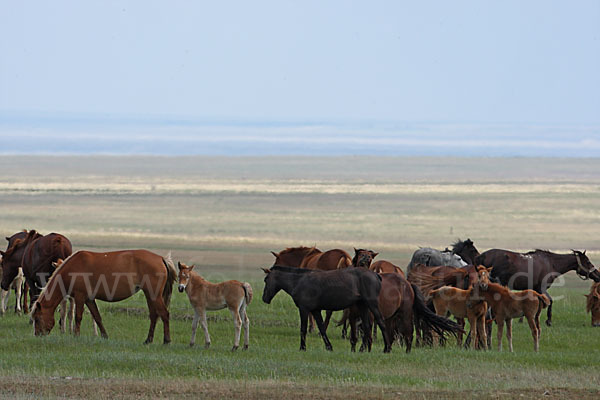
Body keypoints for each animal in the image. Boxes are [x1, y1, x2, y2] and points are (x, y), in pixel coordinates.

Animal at [30, 250, 176, 344]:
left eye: (37, 319)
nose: (37, 335)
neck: (72, 268)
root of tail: (161, 258)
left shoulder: (80, 297)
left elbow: (78, 317)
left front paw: (76, 336)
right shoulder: (89, 299)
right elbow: (97, 317)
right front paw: (105, 336)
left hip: (154, 295)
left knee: (164, 314)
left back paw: (166, 340)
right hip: (149, 295)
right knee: (154, 316)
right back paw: (148, 340)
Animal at [260, 266, 392, 354]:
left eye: (266, 280)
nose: (264, 298)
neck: (299, 281)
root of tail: (376, 275)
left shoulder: (304, 309)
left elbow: (303, 329)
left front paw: (302, 348)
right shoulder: (316, 310)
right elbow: (322, 328)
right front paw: (329, 347)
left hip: (372, 304)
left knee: (381, 322)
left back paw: (387, 348)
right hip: (363, 306)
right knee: (366, 326)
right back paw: (363, 349)